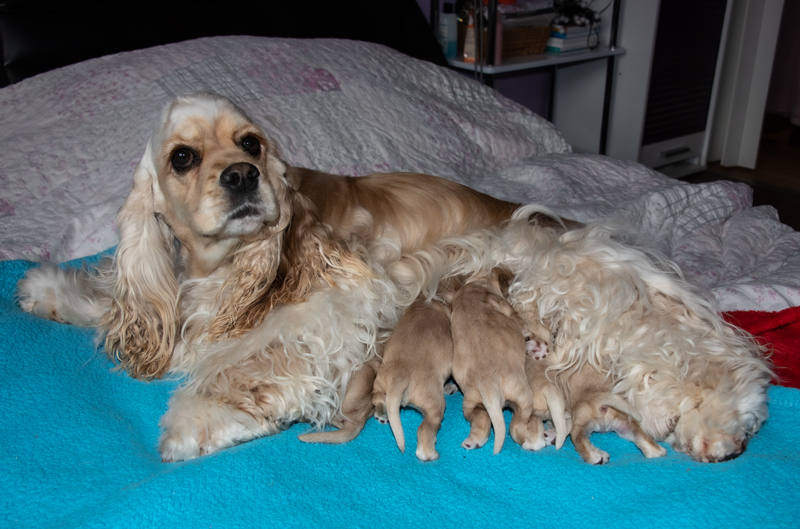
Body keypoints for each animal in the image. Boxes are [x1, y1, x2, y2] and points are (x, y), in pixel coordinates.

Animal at [370, 294, 454, 460]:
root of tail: (400, 377)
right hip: (435, 406)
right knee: (425, 432)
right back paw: (431, 455)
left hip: (380, 383)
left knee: (378, 398)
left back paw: (382, 414)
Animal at [446, 268, 540, 454]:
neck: (477, 284)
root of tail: (489, 385)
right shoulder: (504, 305)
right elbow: (519, 321)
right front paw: (527, 335)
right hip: (523, 398)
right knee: (516, 427)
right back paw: (529, 440)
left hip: (471, 403)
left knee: (481, 421)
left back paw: (473, 442)